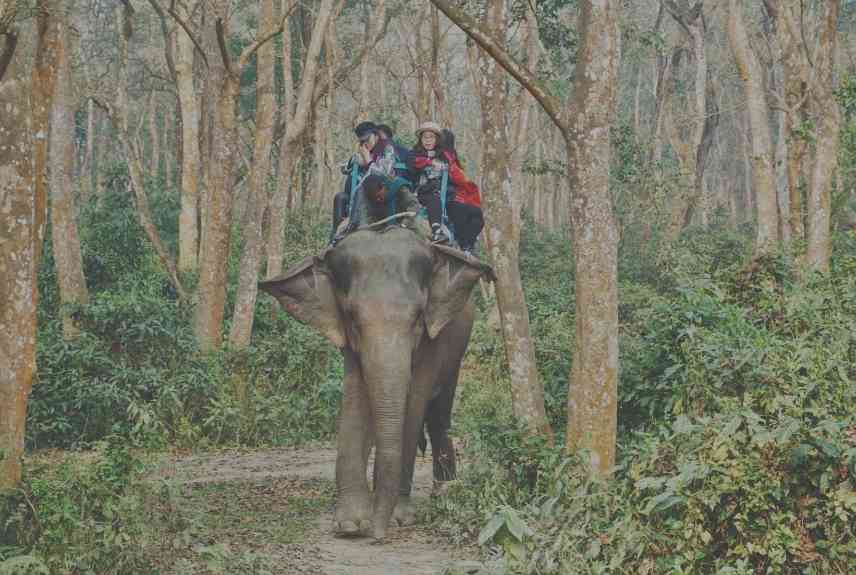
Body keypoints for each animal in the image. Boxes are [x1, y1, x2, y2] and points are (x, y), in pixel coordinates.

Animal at [258, 223, 492, 544]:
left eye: (418, 317)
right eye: (352, 317)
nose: (377, 536)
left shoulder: (434, 337)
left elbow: (414, 401)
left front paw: (398, 518)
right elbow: (356, 398)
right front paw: (350, 525)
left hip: (458, 342)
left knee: (439, 414)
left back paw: (444, 491)